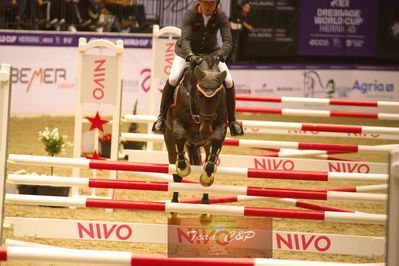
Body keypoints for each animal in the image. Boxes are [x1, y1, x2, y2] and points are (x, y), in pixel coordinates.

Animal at [163, 53, 228, 204]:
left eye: (218, 95)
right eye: (199, 94)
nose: (205, 131)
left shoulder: (220, 125)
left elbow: (216, 141)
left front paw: (208, 173)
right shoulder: (176, 123)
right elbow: (180, 135)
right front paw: (183, 166)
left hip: (206, 145)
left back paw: (205, 199)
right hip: (169, 141)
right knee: (174, 169)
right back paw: (174, 200)